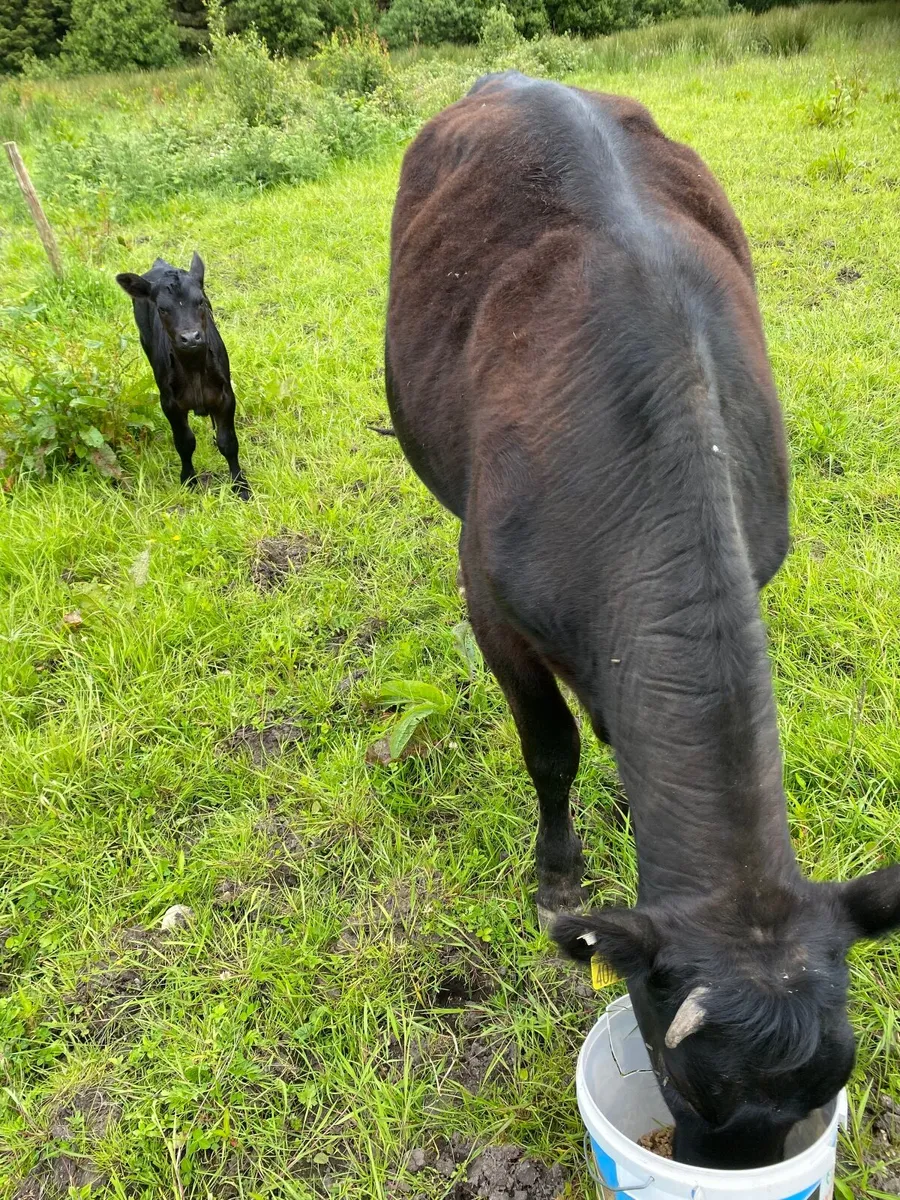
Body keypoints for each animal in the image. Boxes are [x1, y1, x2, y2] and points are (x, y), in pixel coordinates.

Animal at [115, 254, 249, 498]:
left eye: (200, 302)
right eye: (162, 308)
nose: (190, 337)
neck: (194, 369)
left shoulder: (226, 396)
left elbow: (228, 442)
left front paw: (240, 486)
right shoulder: (169, 403)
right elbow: (184, 443)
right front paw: (189, 480)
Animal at [385, 72, 900, 1169]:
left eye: (823, 1089)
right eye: (683, 1078)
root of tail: (517, 76)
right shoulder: (495, 607)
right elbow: (551, 750)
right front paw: (558, 877)